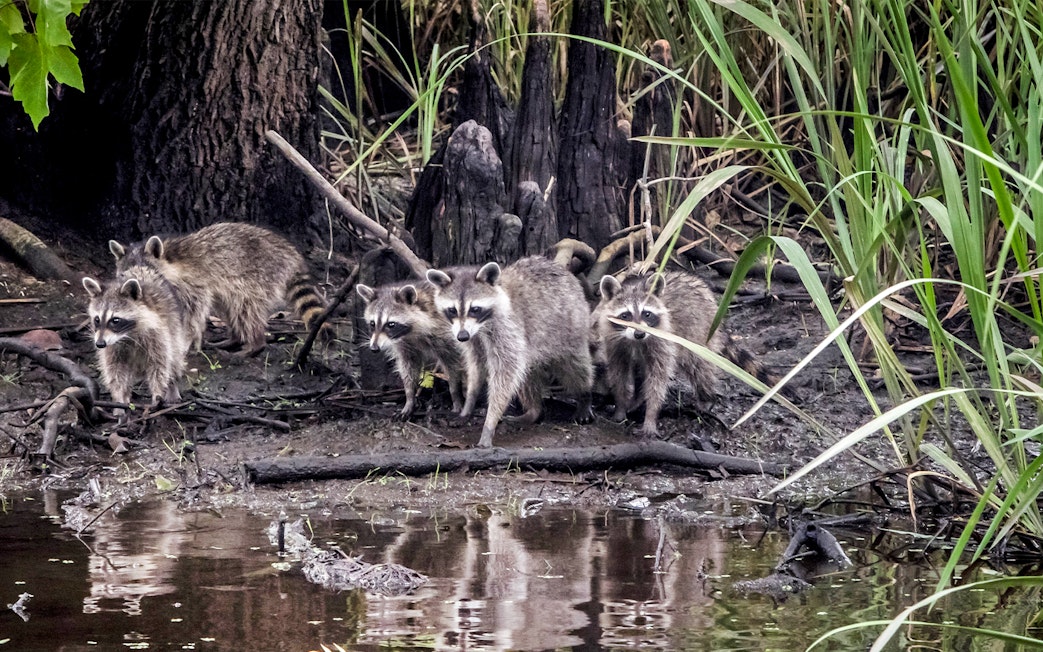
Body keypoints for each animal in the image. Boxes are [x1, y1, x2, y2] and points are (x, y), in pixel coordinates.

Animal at [82, 265, 194, 412]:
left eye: (115, 320)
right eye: (97, 319)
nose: (100, 344)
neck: (127, 335)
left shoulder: (158, 334)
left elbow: (159, 366)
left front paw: (158, 394)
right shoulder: (112, 346)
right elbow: (114, 369)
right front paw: (119, 398)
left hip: (175, 327)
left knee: (175, 359)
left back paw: (172, 387)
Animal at [110, 222, 330, 355]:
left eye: (147, 272)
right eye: (124, 274)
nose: (135, 290)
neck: (170, 259)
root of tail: (292, 255)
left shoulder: (194, 285)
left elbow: (192, 315)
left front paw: (185, 340)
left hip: (259, 277)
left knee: (245, 309)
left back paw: (254, 344)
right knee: (229, 308)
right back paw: (234, 338)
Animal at [356, 280, 467, 419]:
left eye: (391, 324)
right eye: (372, 323)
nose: (374, 348)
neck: (410, 333)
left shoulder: (446, 336)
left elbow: (452, 365)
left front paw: (455, 393)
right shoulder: (404, 345)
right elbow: (408, 367)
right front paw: (409, 397)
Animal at [426, 256, 594, 448]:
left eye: (475, 309)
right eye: (452, 310)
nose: (462, 336)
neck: (481, 326)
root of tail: (565, 271)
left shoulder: (507, 327)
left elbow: (505, 373)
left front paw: (490, 422)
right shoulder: (473, 339)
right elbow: (477, 365)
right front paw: (469, 401)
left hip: (572, 326)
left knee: (575, 367)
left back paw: (584, 396)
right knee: (527, 374)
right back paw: (534, 410)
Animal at [593, 269, 768, 437]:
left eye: (647, 314)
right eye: (625, 315)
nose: (639, 333)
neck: (635, 341)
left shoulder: (662, 341)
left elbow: (658, 379)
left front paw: (651, 415)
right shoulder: (615, 345)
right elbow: (619, 374)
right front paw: (620, 406)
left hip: (699, 333)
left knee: (698, 366)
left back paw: (706, 396)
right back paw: (637, 399)